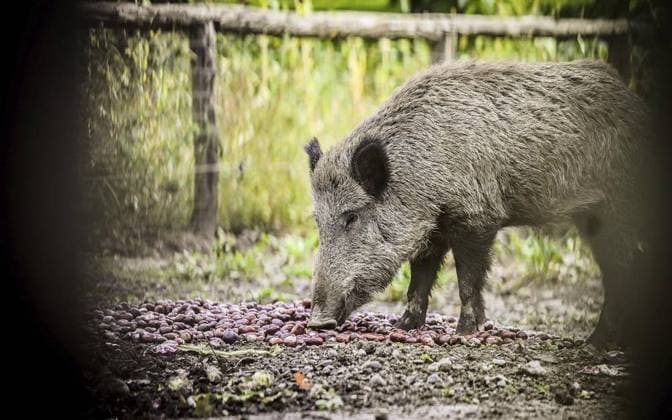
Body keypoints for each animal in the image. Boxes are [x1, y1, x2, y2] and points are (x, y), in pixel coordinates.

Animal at [304, 60, 648, 347]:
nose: (318, 322)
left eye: (352, 217)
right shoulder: (433, 231)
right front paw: (403, 326)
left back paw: (595, 344)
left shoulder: (477, 218)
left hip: (617, 208)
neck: (421, 175)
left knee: (624, 268)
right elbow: (419, 280)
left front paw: (466, 332)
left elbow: (468, 280)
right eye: (318, 222)